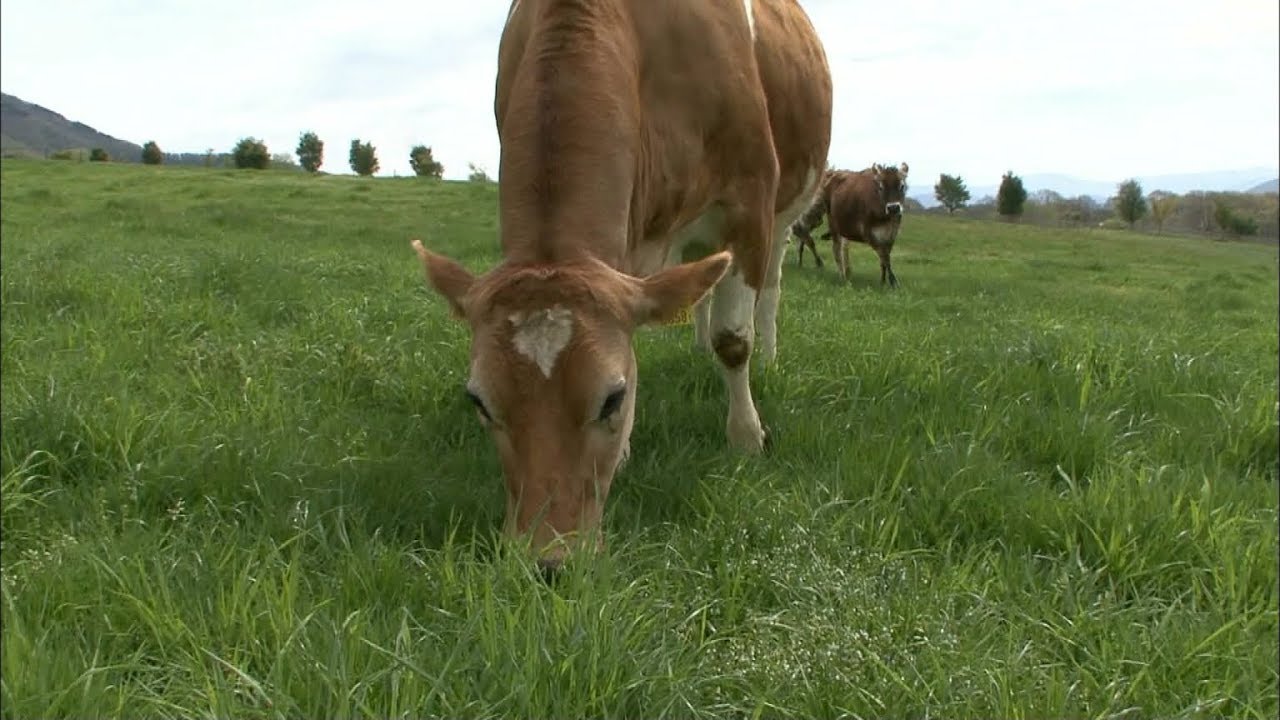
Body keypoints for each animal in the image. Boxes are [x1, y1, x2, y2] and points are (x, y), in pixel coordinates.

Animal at [410, 0, 833, 572]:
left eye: (612, 399)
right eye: (478, 401)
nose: (548, 561)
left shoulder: (749, 200)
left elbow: (733, 339)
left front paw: (746, 436)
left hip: (787, 215)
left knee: (768, 290)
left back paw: (767, 354)